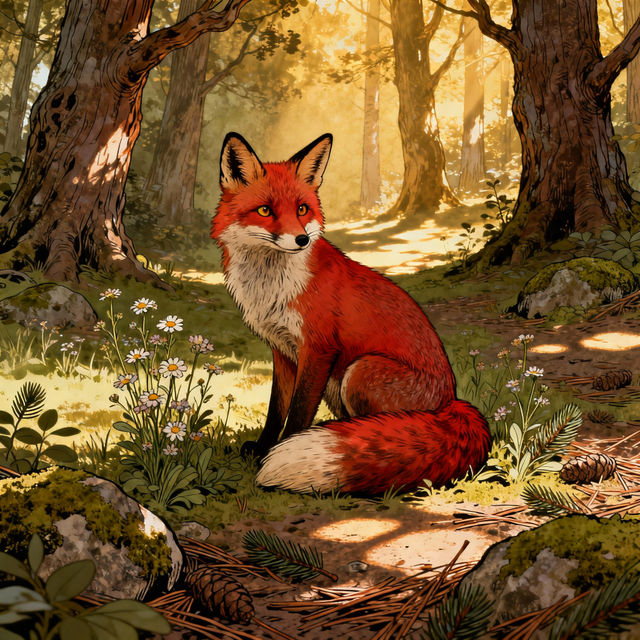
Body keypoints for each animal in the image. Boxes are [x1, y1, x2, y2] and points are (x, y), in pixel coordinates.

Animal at [211, 132, 491, 495]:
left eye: (302, 209)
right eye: (265, 210)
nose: (301, 239)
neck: (272, 286)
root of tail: (451, 402)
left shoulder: (318, 349)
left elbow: (297, 412)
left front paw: (279, 451)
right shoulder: (282, 351)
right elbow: (276, 409)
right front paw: (262, 448)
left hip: (359, 371)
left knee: (383, 426)